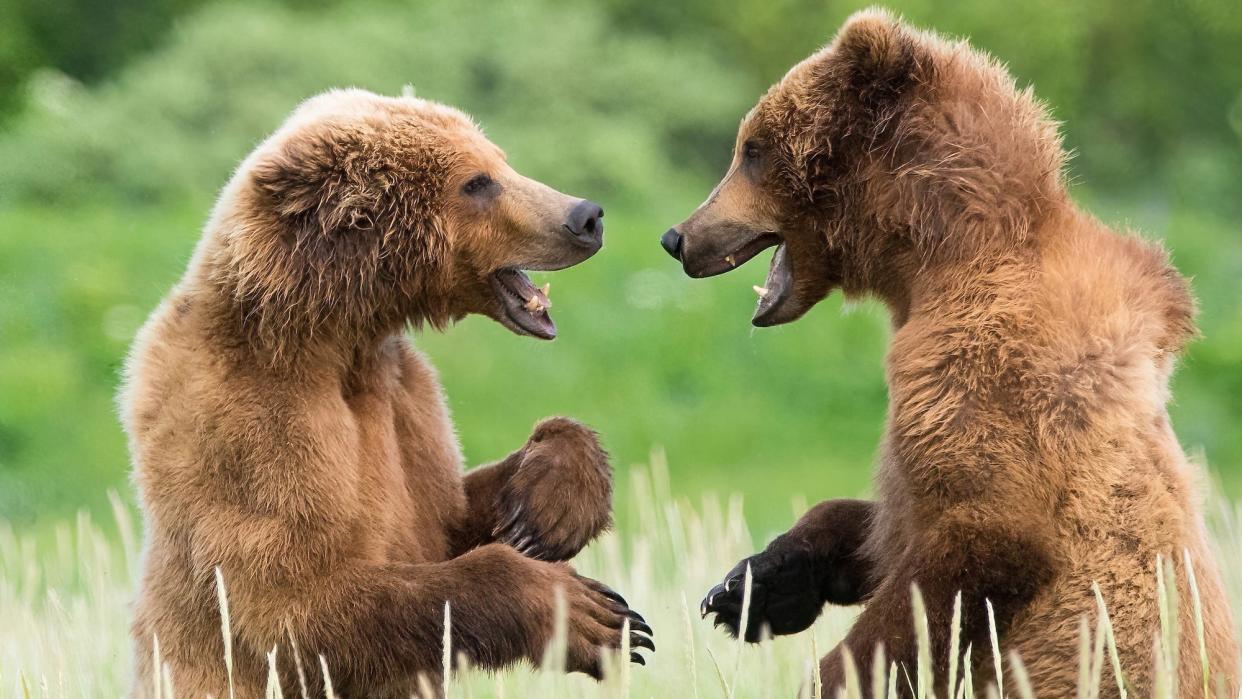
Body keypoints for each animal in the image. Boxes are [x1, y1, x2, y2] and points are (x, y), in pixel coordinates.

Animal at [121, 88, 655, 699]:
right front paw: (589, 614)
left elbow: (449, 510)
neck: (335, 336)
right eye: (477, 182)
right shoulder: (248, 420)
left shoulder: (404, 397)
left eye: (500, 161)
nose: (585, 215)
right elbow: (292, 605)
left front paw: (549, 507)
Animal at [670, 10, 1242, 699]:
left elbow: (978, 547)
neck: (931, 261)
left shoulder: (987, 368)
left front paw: (828, 673)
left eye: (750, 150)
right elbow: (884, 525)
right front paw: (750, 585)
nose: (678, 236)